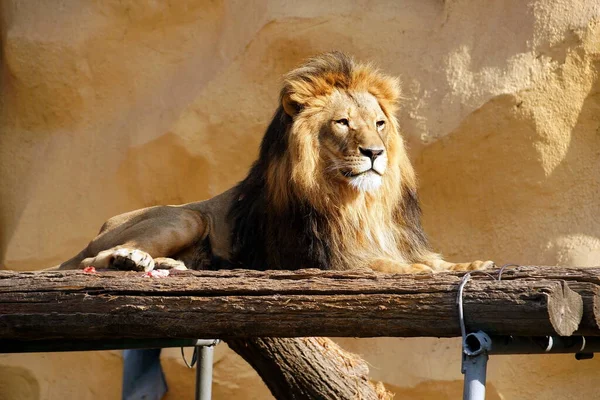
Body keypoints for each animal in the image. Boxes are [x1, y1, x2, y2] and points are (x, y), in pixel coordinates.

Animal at [55, 50, 492, 276]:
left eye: (379, 124)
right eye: (343, 123)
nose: (374, 153)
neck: (359, 202)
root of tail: (100, 228)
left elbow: (434, 260)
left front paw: (474, 262)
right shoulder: (323, 259)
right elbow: (384, 265)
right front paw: (418, 272)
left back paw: (171, 264)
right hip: (186, 217)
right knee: (90, 261)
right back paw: (132, 259)